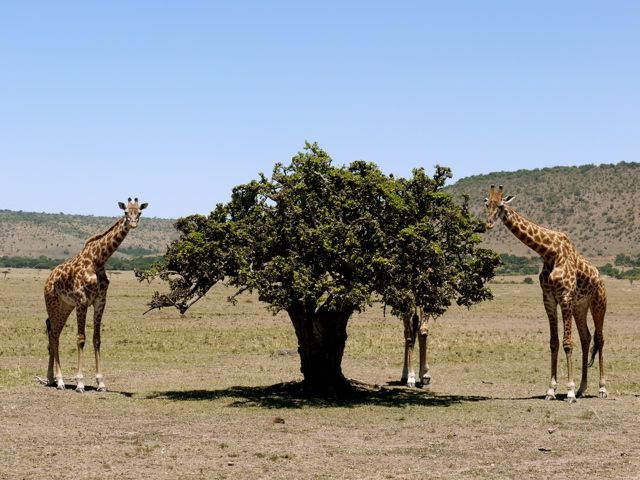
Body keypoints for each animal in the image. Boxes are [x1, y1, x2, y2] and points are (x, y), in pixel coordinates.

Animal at [44, 198, 148, 392]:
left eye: (139, 212)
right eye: (125, 212)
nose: (133, 223)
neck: (98, 260)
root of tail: (49, 278)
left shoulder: (100, 301)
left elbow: (97, 339)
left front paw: (101, 382)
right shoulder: (82, 301)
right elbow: (81, 338)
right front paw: (80, 383)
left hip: (65, 305)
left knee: (54, 333)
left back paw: (51, 378)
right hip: (52, 302)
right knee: (53, 334)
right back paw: (59, 381)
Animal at [485, 185, 606, 402]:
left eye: (500, 205)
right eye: (486, 203)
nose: (488, 223)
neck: (549, 252)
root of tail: (600, 277)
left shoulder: (565, 296)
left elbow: (567, 343)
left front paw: (569, 391)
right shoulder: (548, 299)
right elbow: (554, 343)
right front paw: (551, 390)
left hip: (598, 303)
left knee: (600, 339)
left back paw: (601, 388)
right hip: (580, 307)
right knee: (586, 338)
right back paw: (583, 388)